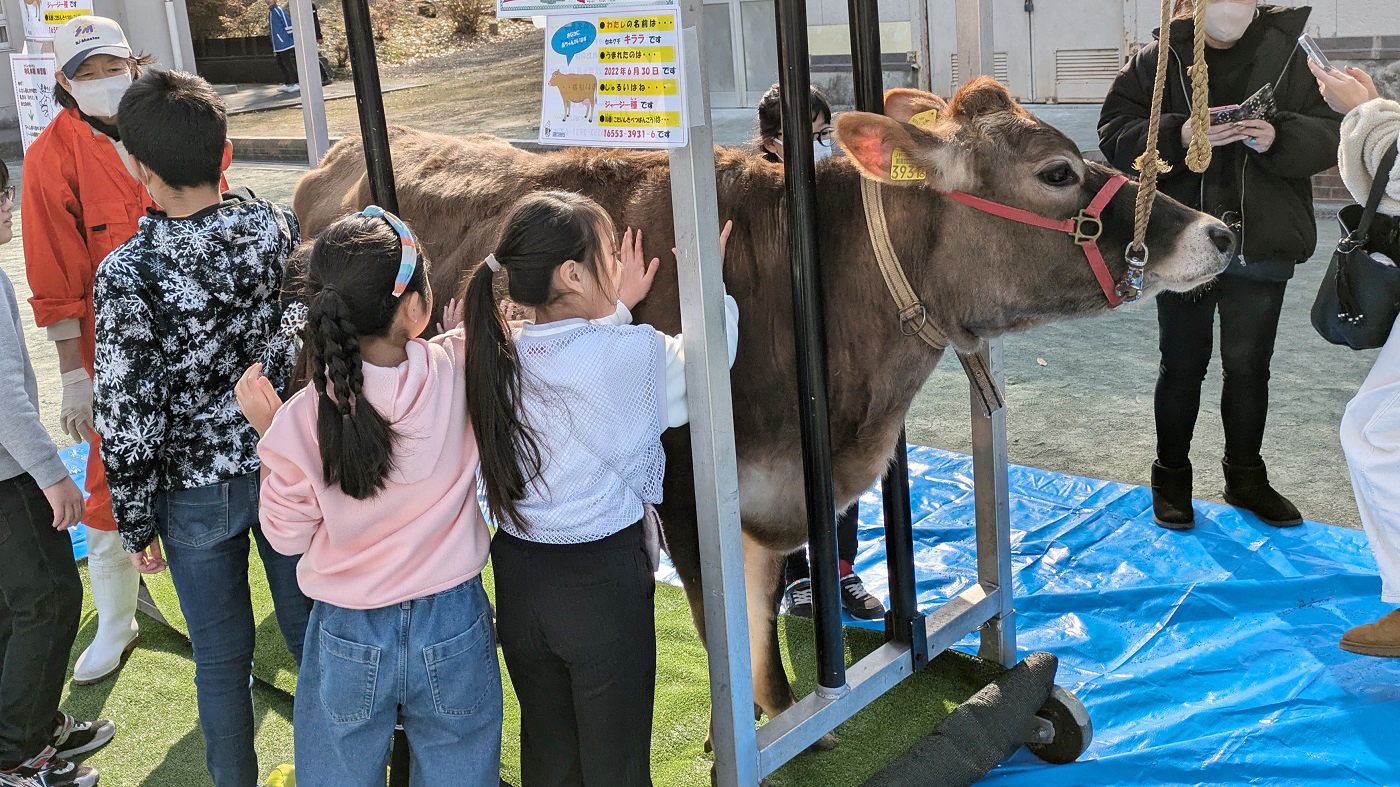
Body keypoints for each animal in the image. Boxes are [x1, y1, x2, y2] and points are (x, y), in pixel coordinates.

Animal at [292, 79, 1226, 744]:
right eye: (1058, 172)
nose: (1217, 232)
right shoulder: (685, 490)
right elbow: (725, 632)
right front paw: (739, 731)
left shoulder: (775, 483)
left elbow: (761, 622)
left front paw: (787, 720)